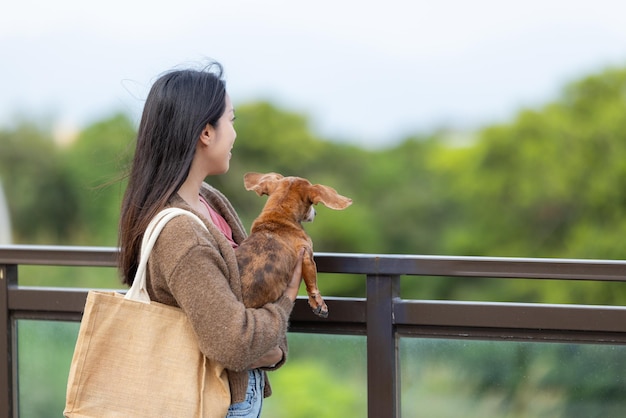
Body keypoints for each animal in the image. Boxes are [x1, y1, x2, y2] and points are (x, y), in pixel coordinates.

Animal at [234, 171, 352, 318]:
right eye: (311, 204)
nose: (316, 213)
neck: (279, 216)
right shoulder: (307, 255)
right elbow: (312, 284)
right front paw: (319, 304)